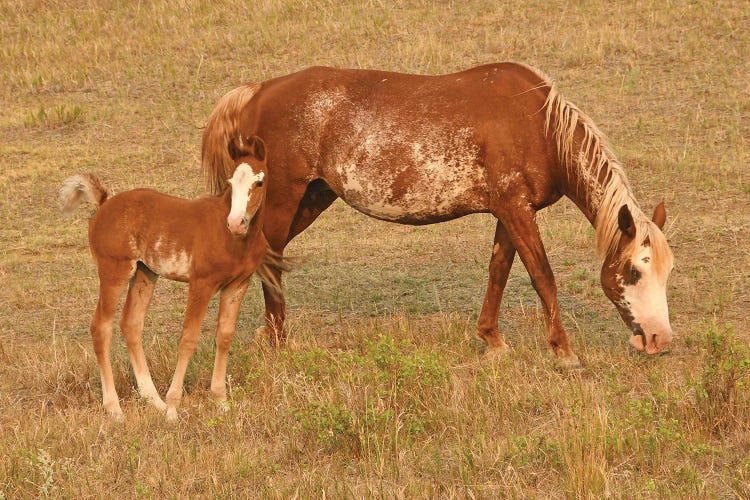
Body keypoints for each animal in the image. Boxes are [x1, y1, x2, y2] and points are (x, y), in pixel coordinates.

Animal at [61, 135, 274, 420]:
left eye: (258, 182)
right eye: (230, 183)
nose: (236, 222)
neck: (236, 239)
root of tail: (104, 203)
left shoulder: (238, 284)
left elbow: (225, 337)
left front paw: (220, 402)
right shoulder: (201, 284)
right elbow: (188, 339)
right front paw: (174, 407)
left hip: (145, 273)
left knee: (131, 324)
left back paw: (154, 401)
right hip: (114, 271)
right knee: (100, 327)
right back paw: (115, 409)